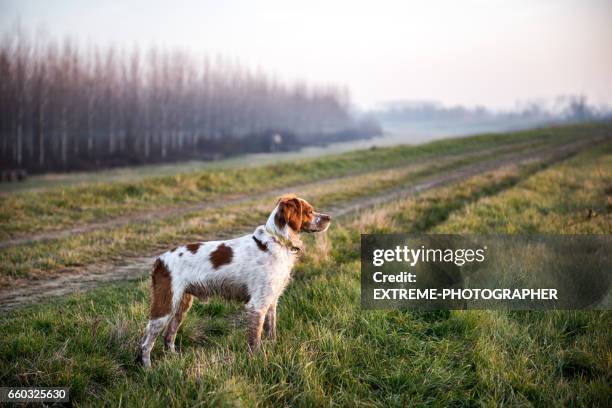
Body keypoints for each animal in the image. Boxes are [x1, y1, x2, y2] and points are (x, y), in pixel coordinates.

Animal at [137, 194, 332, 366]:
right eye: (309, 211)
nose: (328, 217)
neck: (278, 241)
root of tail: (159, 260)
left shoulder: (271, 302)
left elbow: (271, 331)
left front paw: (273, 349)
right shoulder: (256, 305)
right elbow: (255, 341)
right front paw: (256, 362)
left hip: (181, 306)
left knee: (169, 335)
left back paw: (174, 359)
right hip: (165, 306)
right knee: (146, 343)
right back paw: (148, 369)